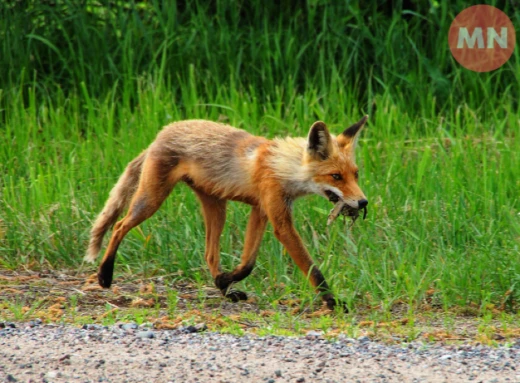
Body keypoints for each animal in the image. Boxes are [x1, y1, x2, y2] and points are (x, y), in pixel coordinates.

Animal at [85, 117, 368, 312]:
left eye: (355, 175)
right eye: (336, 176)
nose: (363, 202)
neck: (282, 167)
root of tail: (162, 132)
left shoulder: (260, 210)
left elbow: (248, 263)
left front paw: (225, 280)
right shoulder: (279, 219)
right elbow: (312, 269)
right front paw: (333, 301)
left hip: (216, 207)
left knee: (209, 253)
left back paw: (225, 290)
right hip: (152, 199)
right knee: (119, 225)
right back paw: (105, 275)